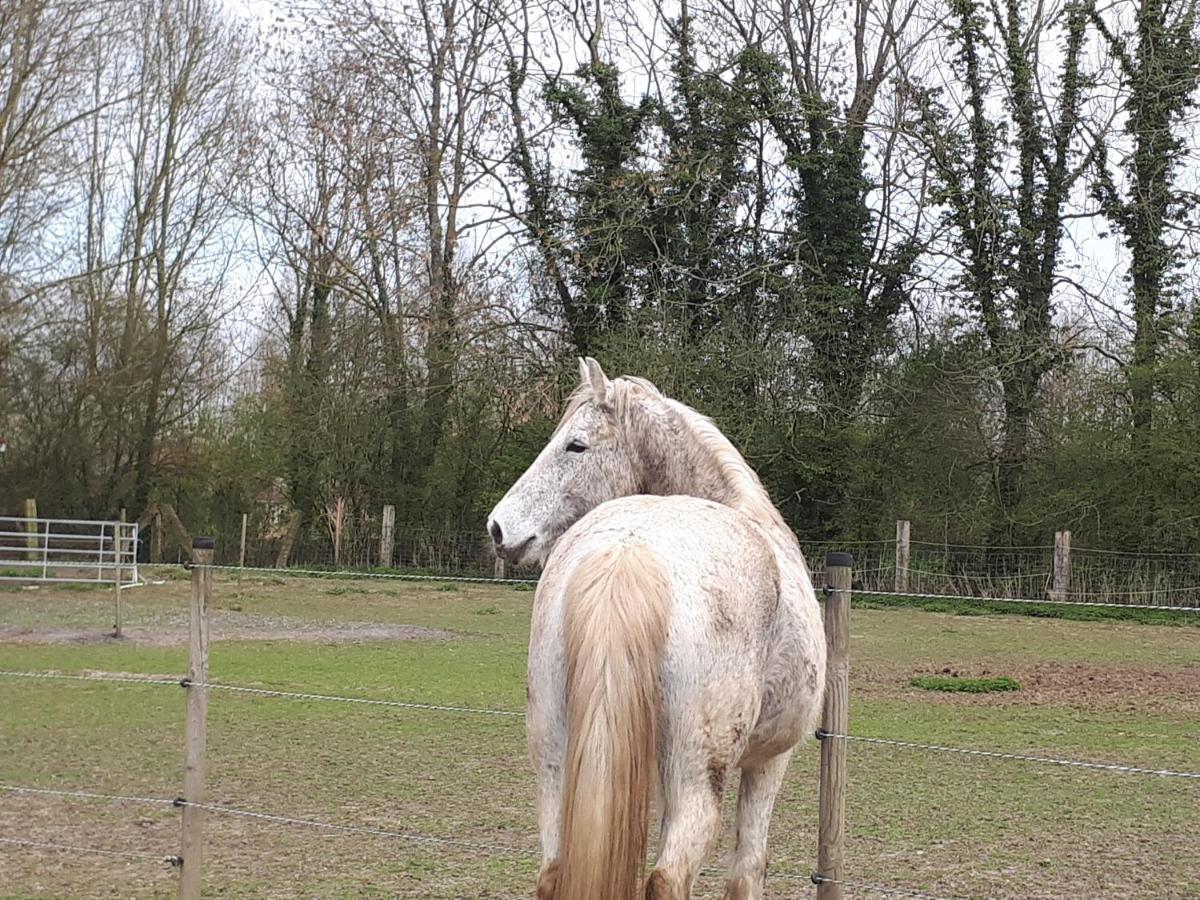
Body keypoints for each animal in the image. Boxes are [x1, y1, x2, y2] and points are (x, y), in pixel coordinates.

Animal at [487, 360, 825, 900]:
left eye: (575, 446)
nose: (499, 529)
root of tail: (627, 549)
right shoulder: (769, 763)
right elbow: (748, 870)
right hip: (696, 777)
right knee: (668, 878)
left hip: (556, 765)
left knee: (553, 873)